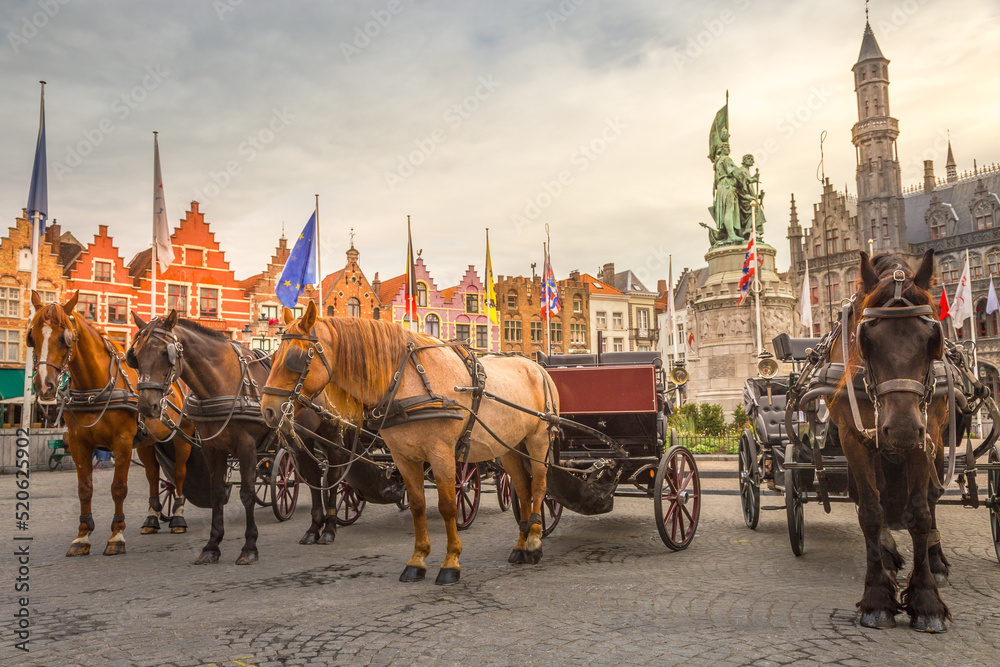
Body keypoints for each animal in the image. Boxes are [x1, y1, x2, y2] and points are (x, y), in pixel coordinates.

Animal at [25, 292, 193, 560]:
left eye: (64, 338)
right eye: (32, 337)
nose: (44, 386)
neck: (93, 389)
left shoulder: (122, 442)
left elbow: (118, 488)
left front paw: (116, 536)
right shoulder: (78, 443)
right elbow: (84, 488)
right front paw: (82, 537)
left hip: (182, 437)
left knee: (178, 474)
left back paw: (177, 518)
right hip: (147, 442)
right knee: (152, 474)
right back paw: (151, 519)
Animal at [262, 306, 560, 588]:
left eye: (295, 358)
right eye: (272, 358)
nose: (267, 410)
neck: (407, 380)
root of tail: (537, 367)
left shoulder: (442, 454)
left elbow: (448, 506)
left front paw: (451, 563)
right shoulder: (404, 457)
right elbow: (417, 505)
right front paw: (417, 561)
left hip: (538, 440)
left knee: (539, 485)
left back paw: (534, 542)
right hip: (509, 446)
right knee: (522, 488)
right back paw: (520, 546)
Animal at [828, 250, 952, 632]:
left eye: (932, 337)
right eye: (866, 340)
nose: (900, 430)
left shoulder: (925, 435)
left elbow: (920, 513)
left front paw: (926, 601)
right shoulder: (852, 437)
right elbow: (870, 510)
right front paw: (877, 598)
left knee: (933, 498)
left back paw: (936, 561)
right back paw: (887, 554)